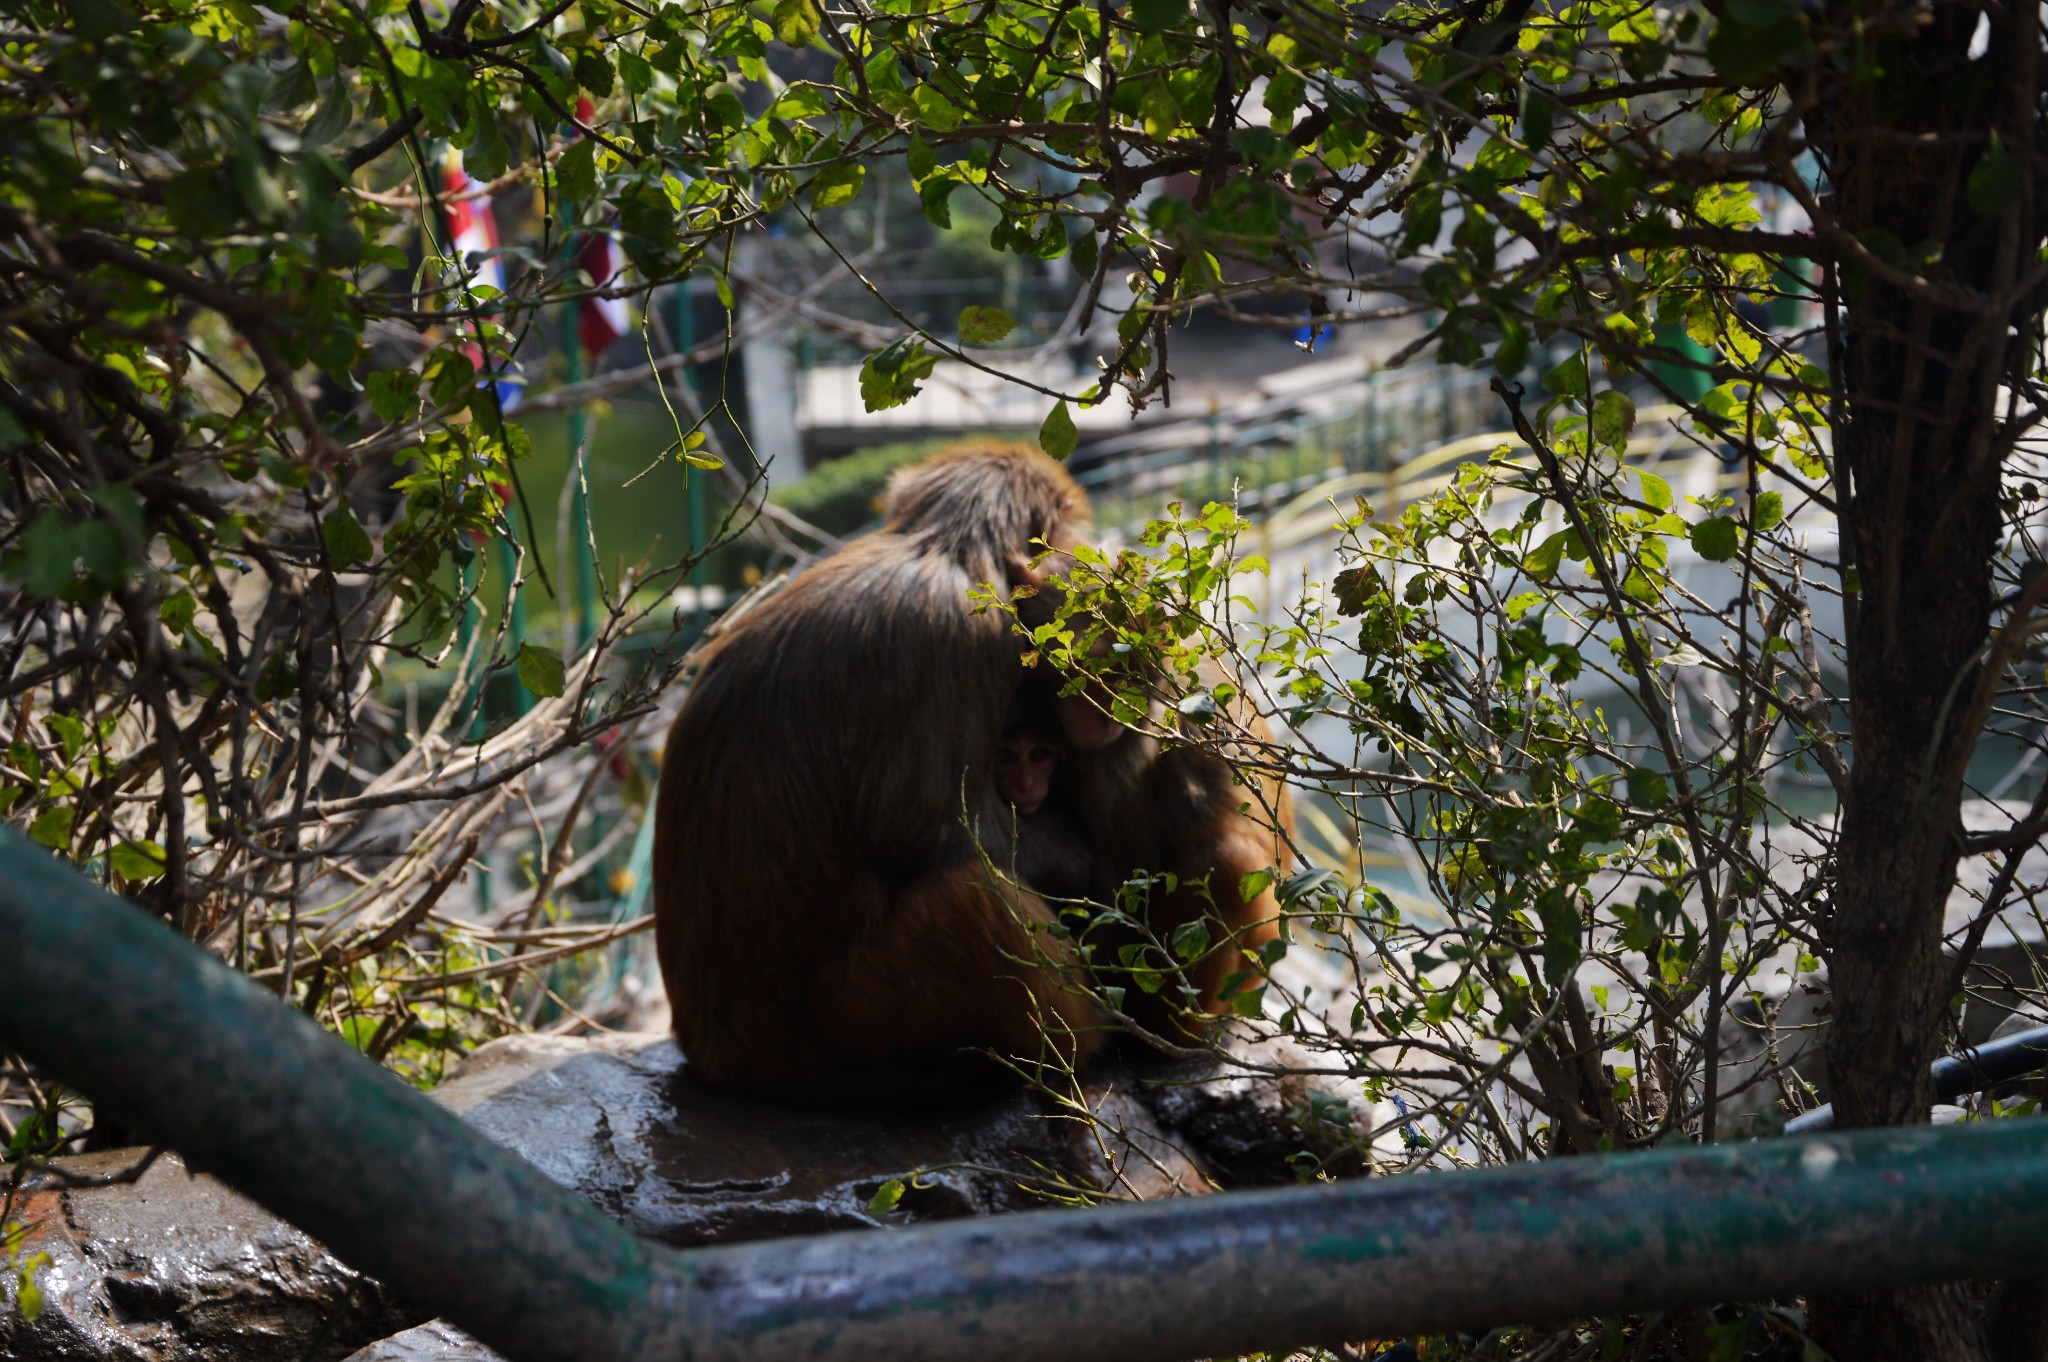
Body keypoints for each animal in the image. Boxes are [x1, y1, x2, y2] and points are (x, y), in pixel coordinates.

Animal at [651, 446, 1105, 1097]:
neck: (944, 545)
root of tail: (719, 1056)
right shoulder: (964, 634)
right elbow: (925, 831)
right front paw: (1073, 853)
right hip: (853, 1016)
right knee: (972, 897)